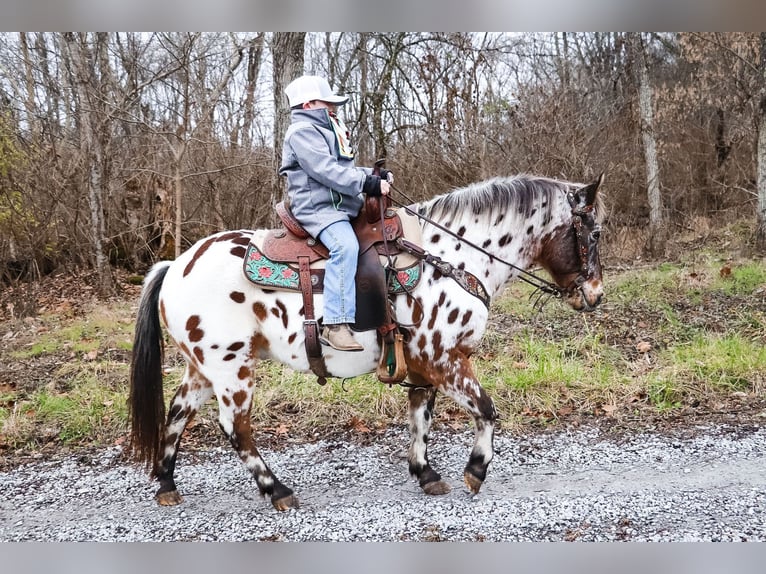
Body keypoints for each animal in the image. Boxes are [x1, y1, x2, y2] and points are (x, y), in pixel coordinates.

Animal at [127, 173, 608, 510]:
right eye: (595, 232)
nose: (596, 295)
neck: (451, 258)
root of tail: (175, 265)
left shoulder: (424, 366)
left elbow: (420, 419)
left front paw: (426, 474)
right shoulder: (446, 358)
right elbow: (486, 411)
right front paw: (476, 470)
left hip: (202, 368)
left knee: (177, 414)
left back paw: (167, 484)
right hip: (230, 369)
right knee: (236, 428)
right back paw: (277, 490)